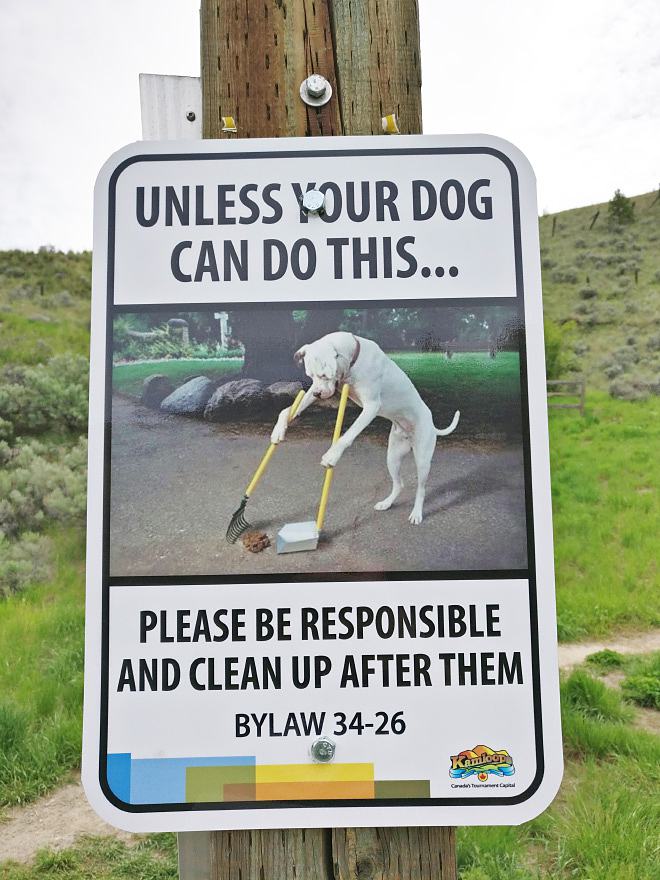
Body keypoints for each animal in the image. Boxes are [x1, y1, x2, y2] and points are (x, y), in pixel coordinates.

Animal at [268, 330, 458, 524]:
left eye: (324, 375)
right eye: (310, 376)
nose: (317, 393)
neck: (353, 360)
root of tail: (432, 423)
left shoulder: (371, 407)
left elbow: (347, 436)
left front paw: (332, 455)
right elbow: (287, 410)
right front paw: (278, 430)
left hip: (422, 460)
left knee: (421, 489)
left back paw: (417, 513)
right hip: (393, 457)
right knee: (399, 484)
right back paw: (386, 503)